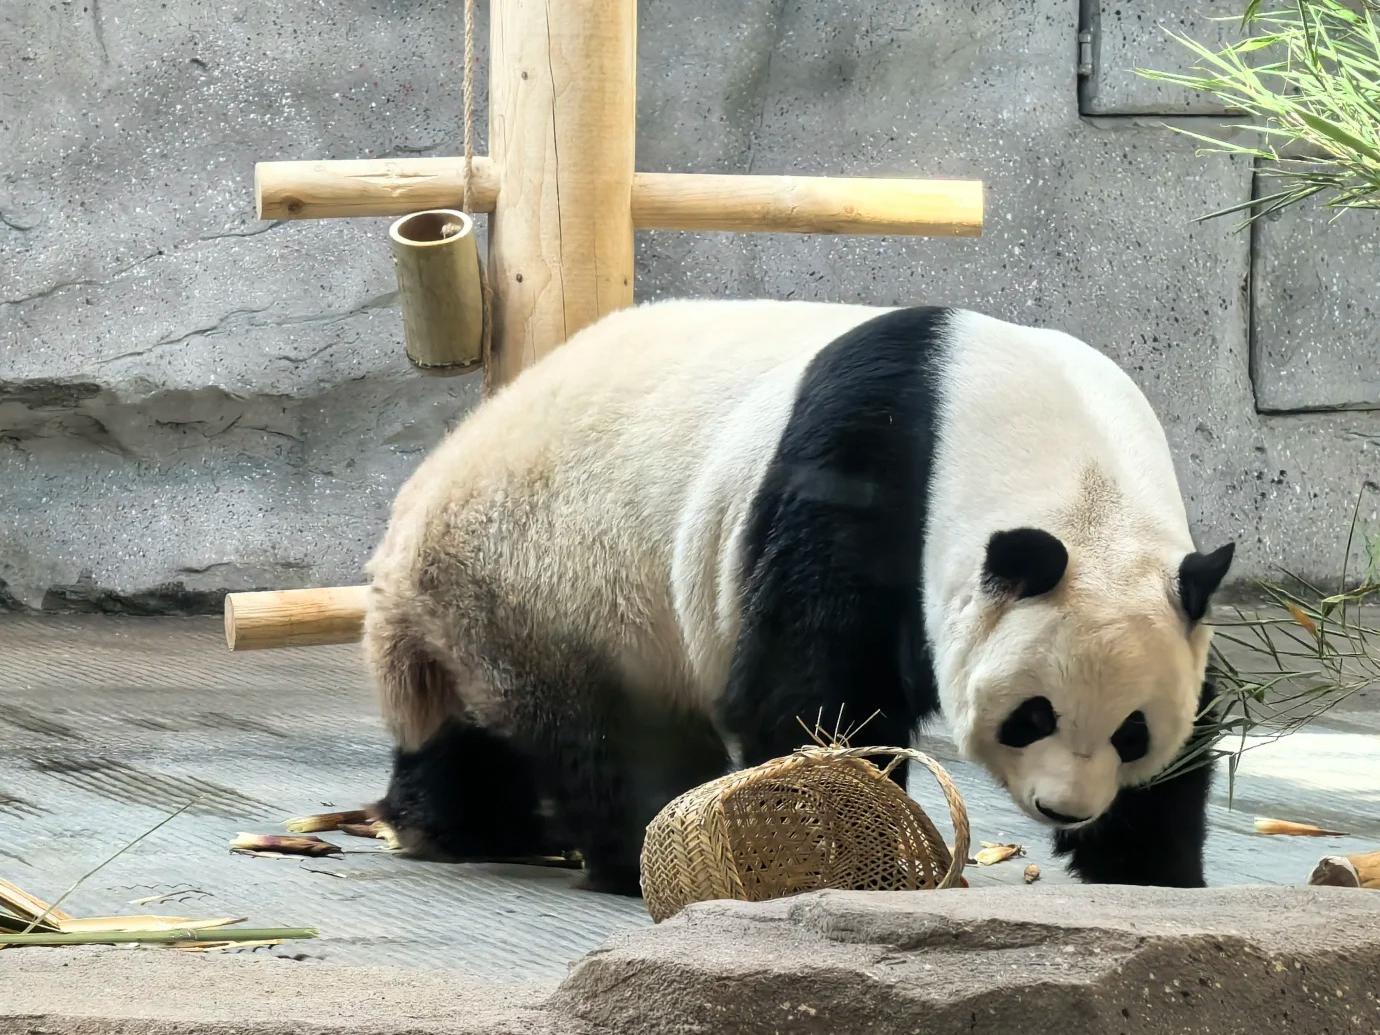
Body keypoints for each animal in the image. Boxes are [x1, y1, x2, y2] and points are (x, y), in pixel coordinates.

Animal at [363, 299, 1234, 895]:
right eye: (1033, 714)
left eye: (1130, 731)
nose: (1065, 808)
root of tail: (409, 524)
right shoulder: (864, 468)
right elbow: (812, 684)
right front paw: (839, 837)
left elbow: (1198, 723)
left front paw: (1149, 867)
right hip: (552, 586)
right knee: (607, 736)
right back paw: (615, 844)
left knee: (465, 728)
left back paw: (460, 824)